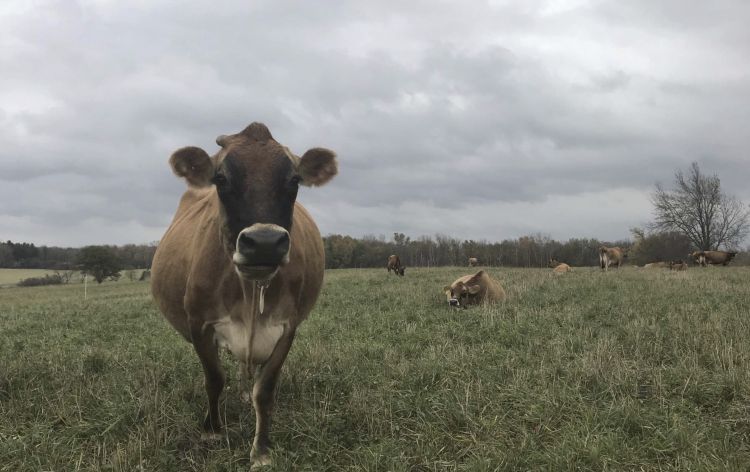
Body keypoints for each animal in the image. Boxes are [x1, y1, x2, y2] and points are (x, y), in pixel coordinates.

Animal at [150, 122, 337, 467]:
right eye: (221, 178)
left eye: (294, 180)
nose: (264, 242)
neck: (251, 292)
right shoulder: (199, 324)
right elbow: (214, 378)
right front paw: (212, 430)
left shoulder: (286, 328)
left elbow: (264, 391)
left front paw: (261, 450)